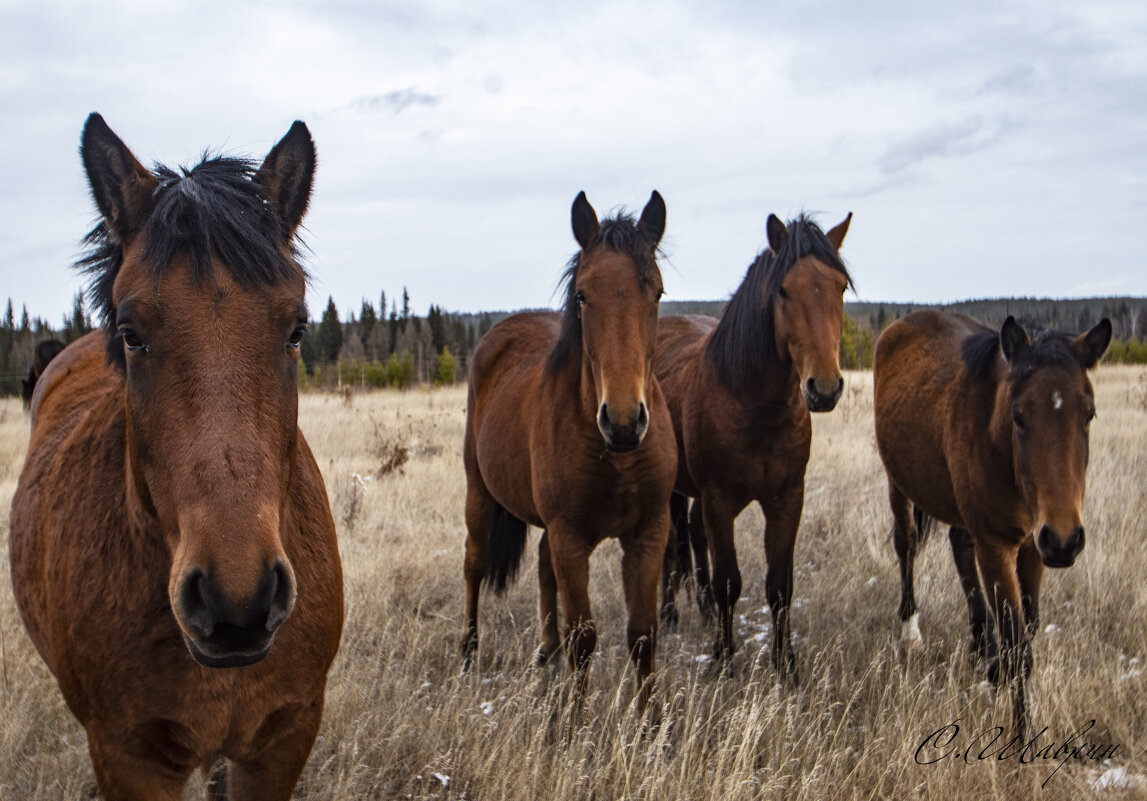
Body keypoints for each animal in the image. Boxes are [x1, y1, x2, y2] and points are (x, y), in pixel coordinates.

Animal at [463, 190, 679, 702]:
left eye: (657, 293)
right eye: (583, 295)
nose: (623, 421)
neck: (616, 458)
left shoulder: (649, 533)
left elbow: (643, 635)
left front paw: (651, 720)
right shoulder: (570, 536)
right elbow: (583, 638)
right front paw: (572, 720)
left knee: (543, 568)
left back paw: (546, 650)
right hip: (478, 492)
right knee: (474, 563)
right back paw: (468, 652)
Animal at [656, 212, 853, 674]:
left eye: (840, 287)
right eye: (783, 290)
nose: (824, 388)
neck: (756, 408)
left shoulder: (788, 497)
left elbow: (780, 585)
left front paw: (786, 663)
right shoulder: (720, 499)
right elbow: (730, 581)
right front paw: (725, 658)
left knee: (694, 536)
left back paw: (705, 610)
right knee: (671, 545)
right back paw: (669, 615)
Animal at [871, 309, 1105, 734]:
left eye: (1089, 414)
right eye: (1019, 416)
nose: (1065, 541)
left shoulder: (1033, 544)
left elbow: (1028, 626)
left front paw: (994, 668)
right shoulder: (997, 546)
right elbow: (1018, 645)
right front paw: (1022, 733)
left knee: (959, 545)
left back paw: (982, 642)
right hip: (898, 483)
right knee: (907, 544)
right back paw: (911, 628)